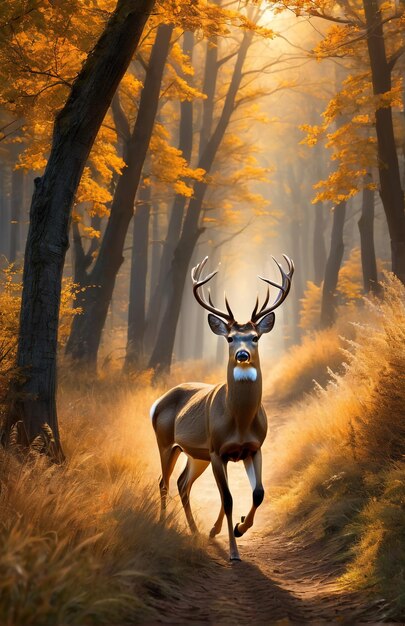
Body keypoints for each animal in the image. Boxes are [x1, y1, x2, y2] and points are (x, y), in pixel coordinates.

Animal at [150, 254, 292, 560]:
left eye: (255, 337)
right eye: (230, 338)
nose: (242, 355)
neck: (239, 421)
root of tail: (157, 403)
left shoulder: (254, 448)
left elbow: (258, 493)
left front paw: (237, 527)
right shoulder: (217, 450)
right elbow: (227, 498)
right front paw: (234, 550)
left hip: (196, 454)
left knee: (182, 483)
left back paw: (194, 530)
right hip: (166, 442)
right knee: (164, 482)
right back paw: (164, 524)